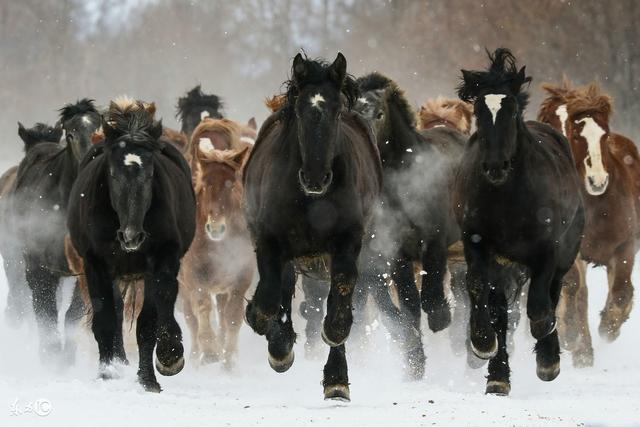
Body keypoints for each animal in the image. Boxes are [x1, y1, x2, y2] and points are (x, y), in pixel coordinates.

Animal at [7, 99, 100, 362]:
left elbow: (71, 316)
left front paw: (65, 359)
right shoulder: (38, 268)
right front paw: (50, 358)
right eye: (71, 134)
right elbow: (45, 315)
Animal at [67, 101, 195, 394]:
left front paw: (162, 363)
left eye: (150, 174)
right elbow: (104, 319)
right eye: (113, 174)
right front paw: (106, 374)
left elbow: (152, 317)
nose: (132, 237)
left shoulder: (161, 260)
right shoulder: (95, 265)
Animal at [240, 52, 380, 402]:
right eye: (301, 110)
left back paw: (336, 380)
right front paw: (276, 343)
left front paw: (334, 336)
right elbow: (268, 298)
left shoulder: (348, 241)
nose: (315, 178)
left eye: (337, 110)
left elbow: (342, 290)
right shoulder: (270, 241)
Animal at [456, 48, 584, 396]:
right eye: (478, 110)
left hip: (564, 256)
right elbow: (478, 286)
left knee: (551, 294)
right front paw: (482, 342)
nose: (495, 165)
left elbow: (540, 307)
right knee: (501, 310)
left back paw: (547, 357)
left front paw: (547, 356)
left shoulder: (547, 250)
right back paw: (498, 377)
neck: (507, 198)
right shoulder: (477, 243)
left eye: (511, 110)